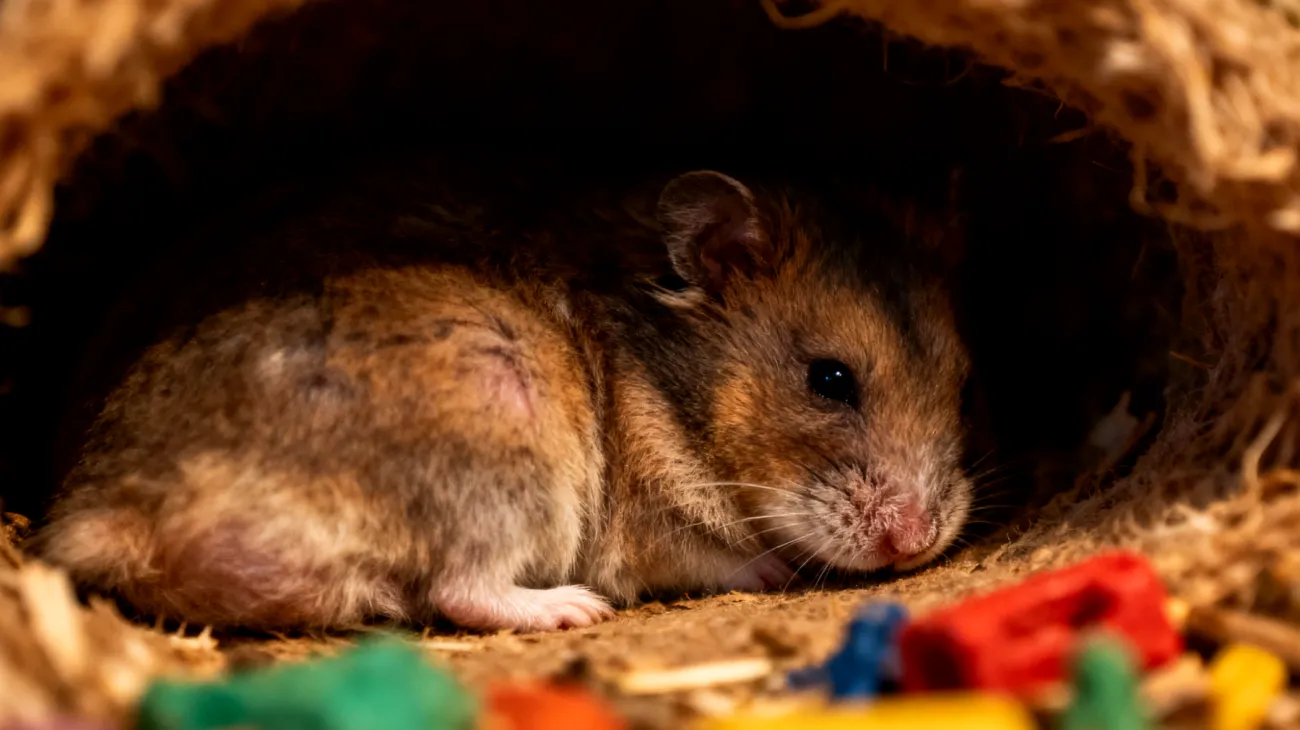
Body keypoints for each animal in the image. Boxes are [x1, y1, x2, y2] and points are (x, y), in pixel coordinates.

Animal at [32, 164, 974, 633]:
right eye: (829, 379)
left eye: (966, 387)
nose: (914, 543)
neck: (673, 390)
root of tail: (114, 511)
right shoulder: (648, 528)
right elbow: (710, 555)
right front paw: (776, 566)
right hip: (509, 430)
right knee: (463, 585)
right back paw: (570, 610)